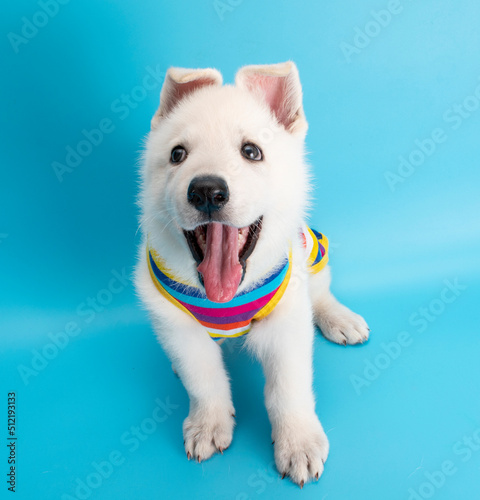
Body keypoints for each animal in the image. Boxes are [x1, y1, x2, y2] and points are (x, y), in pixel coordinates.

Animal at [133, 60, 370, 486]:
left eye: (251, 152)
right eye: (177, 154)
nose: (207, 191)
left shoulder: (287, 320)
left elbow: (287, 389)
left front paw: (298, 442)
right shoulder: (175, 323)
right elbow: (203, 380)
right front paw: (209, 423)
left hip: (312, 250)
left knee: (321, 292)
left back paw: (340, 319)